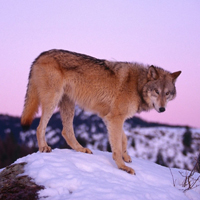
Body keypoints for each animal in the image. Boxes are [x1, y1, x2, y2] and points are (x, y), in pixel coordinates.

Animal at [21, 49, 181, 174]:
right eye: (156, 91)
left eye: (167, 93)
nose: (162, 109)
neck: (137, 85)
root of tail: (40, 55)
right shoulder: (115, 118)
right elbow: (117, 146)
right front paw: (122, 166)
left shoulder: (109, 117)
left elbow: (123, 138)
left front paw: (126, 157)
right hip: (52, 101)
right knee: (39, 127)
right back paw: (44, 147)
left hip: (68, 105)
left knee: (66, 132)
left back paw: (81, 149)